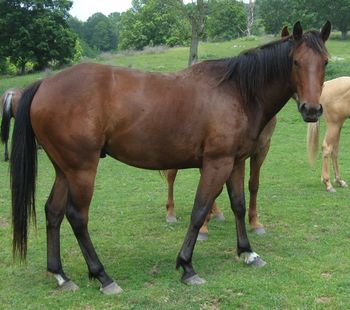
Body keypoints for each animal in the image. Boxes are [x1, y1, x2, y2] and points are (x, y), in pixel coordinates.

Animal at [9, 21, 330, 294]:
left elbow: (238, 205)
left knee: (53, 212)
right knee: (77, 217)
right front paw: (187, 267)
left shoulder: (235, 162)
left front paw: (247, 252)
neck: (237, 91)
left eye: (325, 61)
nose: (312, 110)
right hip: (81, 169)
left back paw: (61, 275)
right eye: (296, 62)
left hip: (64, 169)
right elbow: (200, 210)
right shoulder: (217, 163)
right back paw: (103, 276)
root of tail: (44, 84)